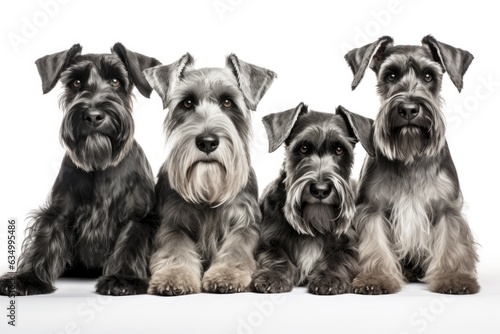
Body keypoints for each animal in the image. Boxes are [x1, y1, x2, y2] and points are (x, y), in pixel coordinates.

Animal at [0, 43, 160, 296]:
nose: (93, 116)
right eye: (75, 82)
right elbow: (44, 243)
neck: (99, 165)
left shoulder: (139, 217)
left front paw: (123, 278)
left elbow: (131, 243)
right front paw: (27, 278)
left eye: (116, 81)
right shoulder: (58, 213)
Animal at [144, 52, 278, 294]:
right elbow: (176, 248)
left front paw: (227, 274)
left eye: (228, 102)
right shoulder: (172, 223)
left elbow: (236, 248)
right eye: (187, 103)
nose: (207, 141)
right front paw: (174, 276)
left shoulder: (245, 224)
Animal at [252, 102, 374, 294]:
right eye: (303, 148)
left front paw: (329, 278)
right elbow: (276, 255)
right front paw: (272, 276)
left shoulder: (350, 246)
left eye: (339, 150)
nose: (320, 190)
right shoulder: (267, 241)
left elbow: (338, 258)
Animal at [344, 35, 480, 294]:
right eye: (390, 76)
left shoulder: (447, 208)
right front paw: (375, 278)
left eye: (428, 75)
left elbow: (452, 244)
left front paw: (454, 279)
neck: (410, 155)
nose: (408, 109)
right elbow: (374, 245)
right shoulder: (373, 208)